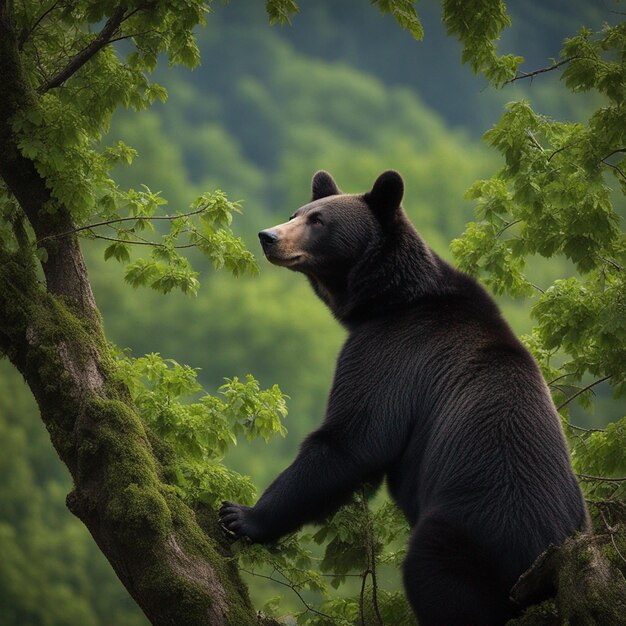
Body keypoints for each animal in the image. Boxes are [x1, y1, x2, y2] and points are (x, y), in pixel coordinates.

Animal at [221, 171, 588, 624]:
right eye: (295, 213)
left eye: (318, 221)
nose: (268, 236)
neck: (389, 298)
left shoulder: (391, 352)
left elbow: (353, 439)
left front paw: (241, 515)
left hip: (466, 530)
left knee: (436, 578)